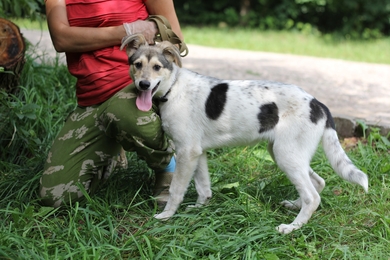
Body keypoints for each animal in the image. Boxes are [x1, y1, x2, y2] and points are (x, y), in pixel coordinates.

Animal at [121, 33, 368, 235]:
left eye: (157, 67)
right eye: (137, 64)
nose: (143, 85)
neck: (174, 88)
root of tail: (318, 103)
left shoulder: (186, 152)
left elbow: (176, 189)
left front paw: (167, 216)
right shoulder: (197, 152)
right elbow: (203, 187)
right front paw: (199, 209)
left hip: (286, 155)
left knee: (312, 196)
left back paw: (292, 227)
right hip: (288, 153)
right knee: (318, 183)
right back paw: (295, 207)